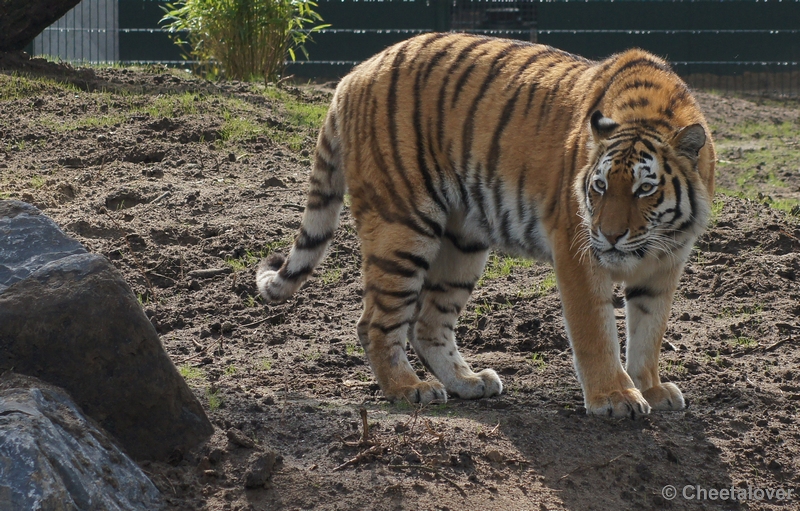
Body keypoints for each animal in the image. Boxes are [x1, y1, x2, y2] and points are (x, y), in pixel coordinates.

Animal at [255, 32, 712, 418]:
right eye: (599, 187)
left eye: (643, 189)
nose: (610, 236)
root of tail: (353, 73)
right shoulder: (578, 253)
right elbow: (596, 334)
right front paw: (615, 397)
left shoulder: (666, 264)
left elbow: (650, 330)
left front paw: (650, 388)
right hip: (402, 227)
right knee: (374, 323)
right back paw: (408, 389)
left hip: (464, 242)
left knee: (428, 324)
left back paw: (467, 381)